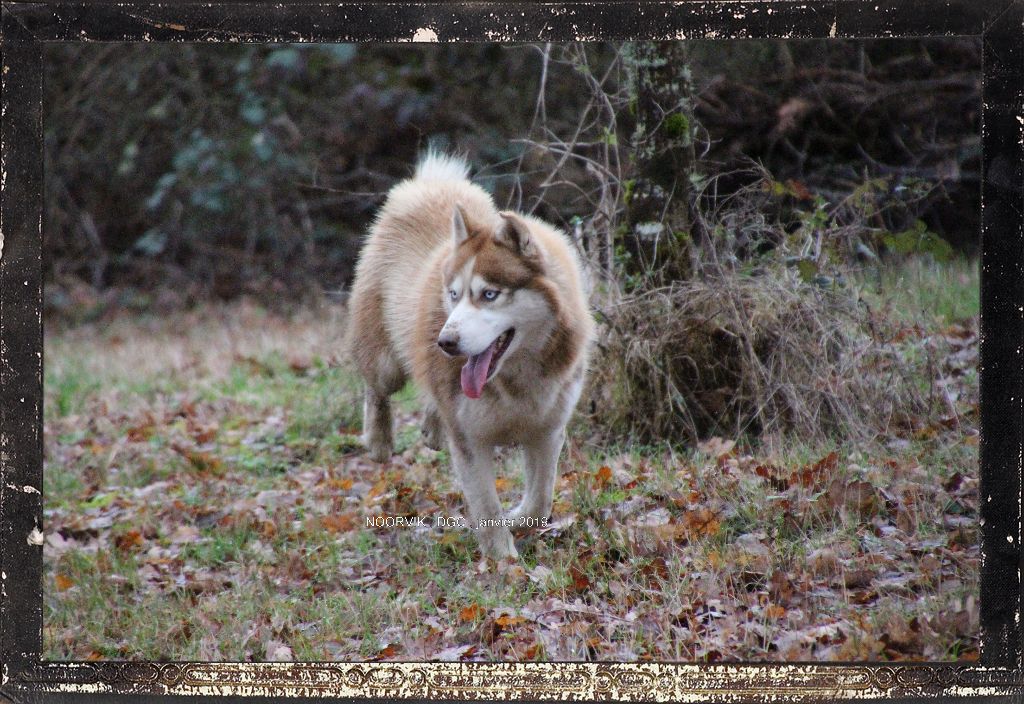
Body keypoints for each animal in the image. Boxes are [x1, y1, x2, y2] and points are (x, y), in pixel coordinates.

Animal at [350, 151, 598, 556]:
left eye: (489, 294)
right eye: (453, 294)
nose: (445, 342)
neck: (516, 379)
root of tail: (430, 184)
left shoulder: (547, 430)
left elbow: (540, 499)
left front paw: (519, 520)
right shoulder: (470, 441)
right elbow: (486, 508)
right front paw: (504, 563)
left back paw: (432, 427)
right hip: (386, 363)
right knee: (376, 387)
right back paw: (379, 439)